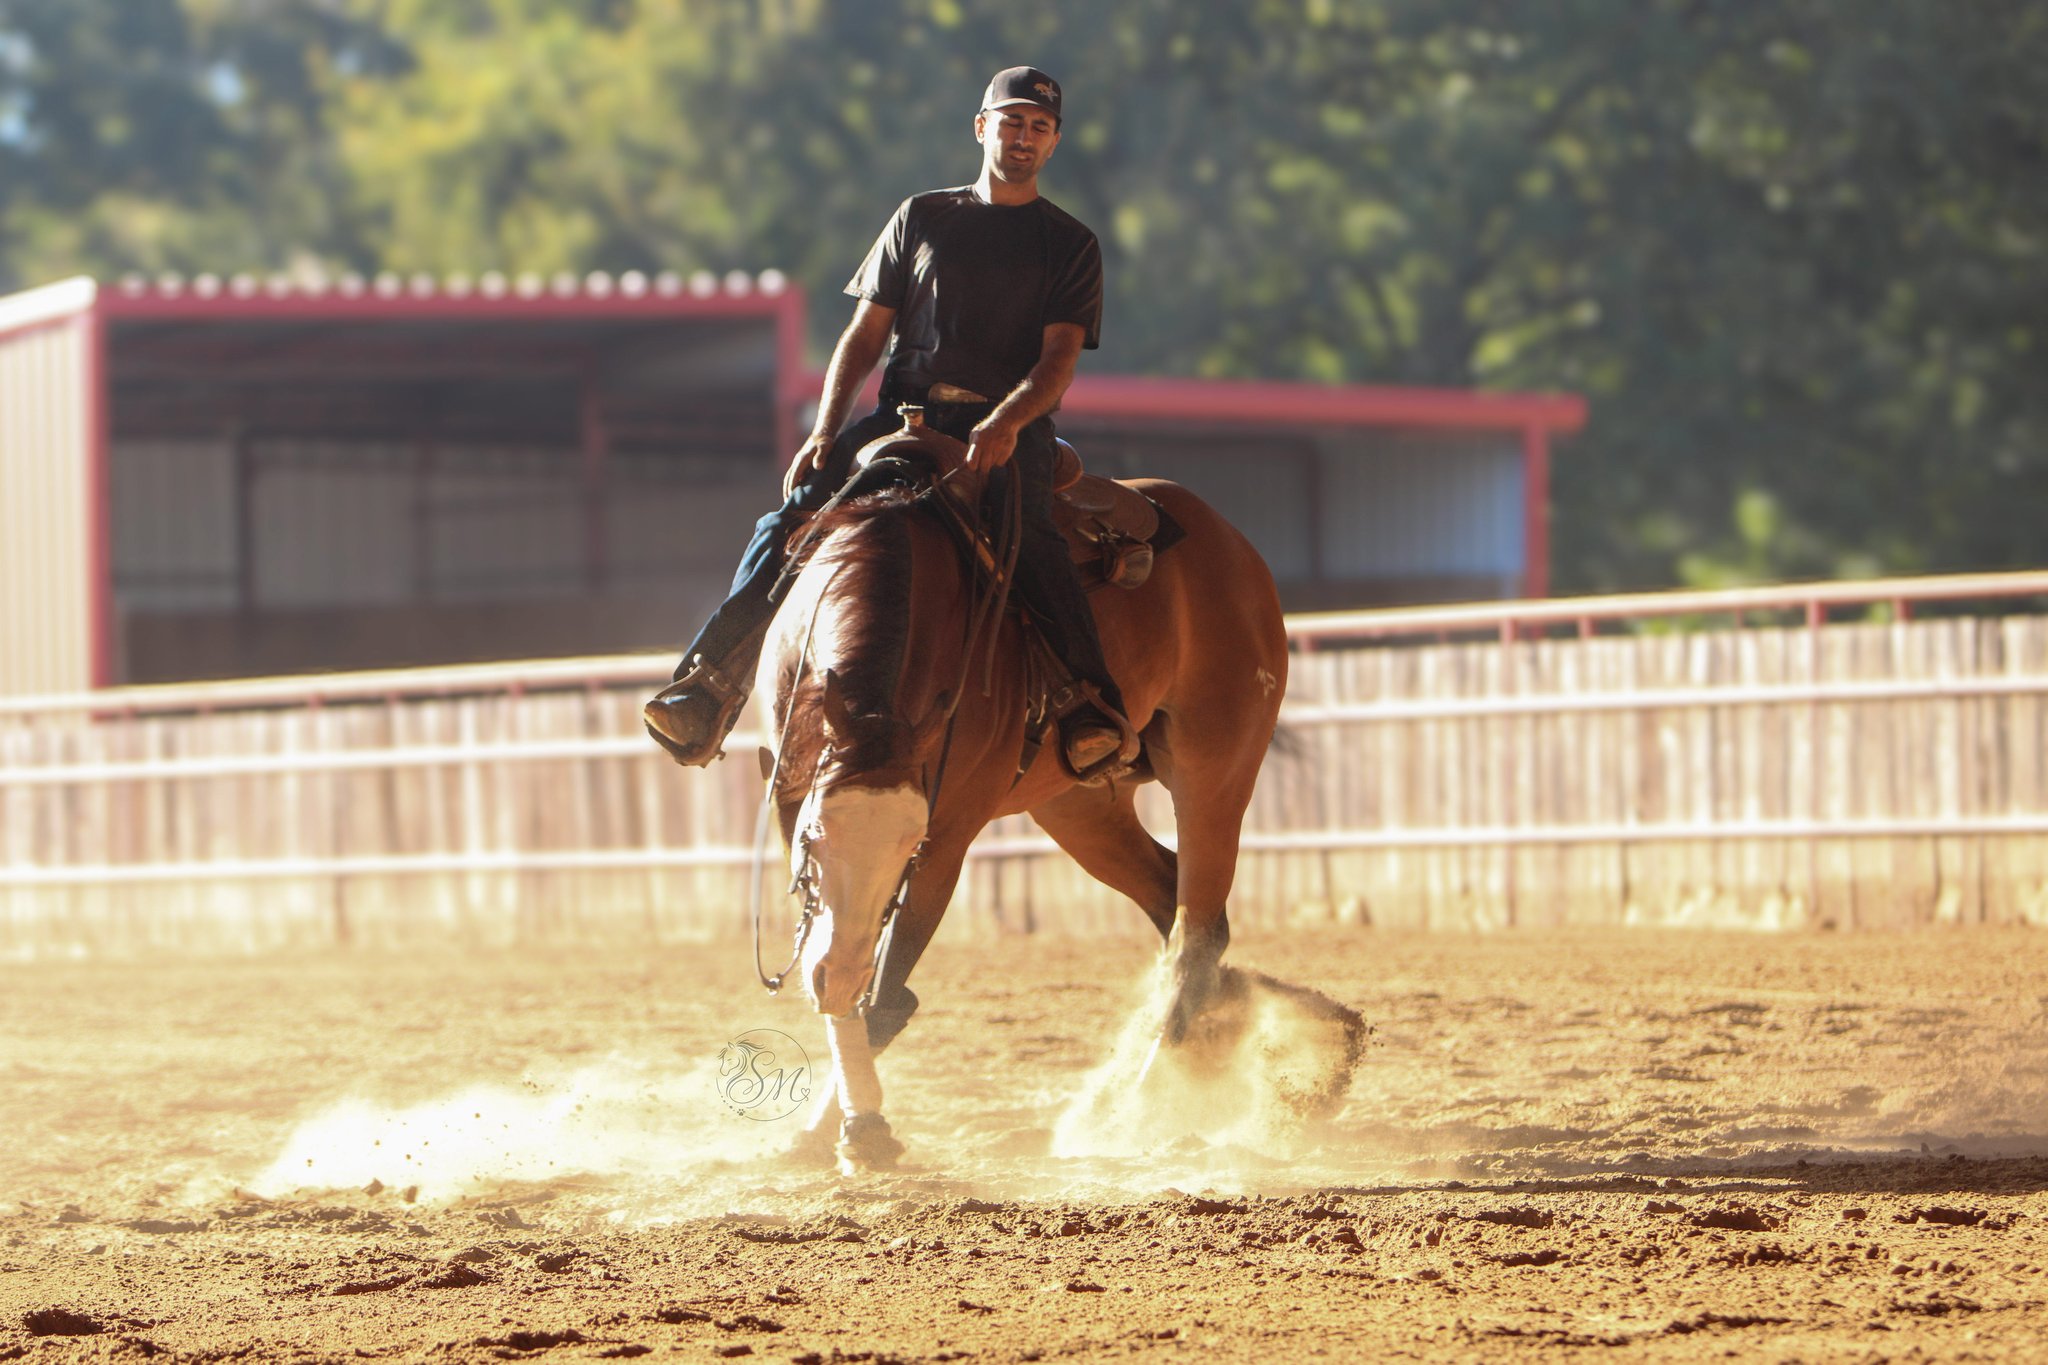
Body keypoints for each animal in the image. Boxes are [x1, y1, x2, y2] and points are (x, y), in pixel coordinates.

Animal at [748, 418, 1287, 1172]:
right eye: (814, 843)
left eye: (908, 849)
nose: (836, 974)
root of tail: (1233, 545)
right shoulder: (789, 792)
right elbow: (843, 958)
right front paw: (829, 1123)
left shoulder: (947, 834)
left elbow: (885, 991)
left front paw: (864, 1128)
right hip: (1077, 804)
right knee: (1171, 897)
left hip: (1218, 766)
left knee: (1195, 929)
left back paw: (1136, 1103)